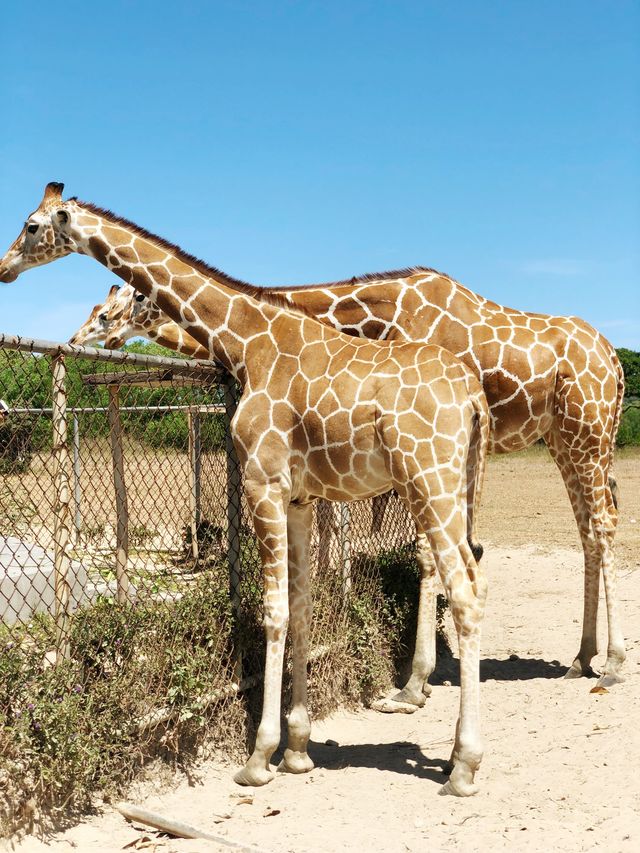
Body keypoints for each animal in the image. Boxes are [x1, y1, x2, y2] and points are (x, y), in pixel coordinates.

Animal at [0, 183, 490, 796]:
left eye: (31, 225)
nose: (4, 268)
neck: (245, 344)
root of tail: (473, 396)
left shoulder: (261, 482)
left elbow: (273, 612)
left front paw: (258, 757)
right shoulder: (299, 497)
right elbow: (301, 607)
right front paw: (299, 749)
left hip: (429, 481)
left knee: (465, 593)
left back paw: (464, 764)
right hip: (459, 484)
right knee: (474, 577)